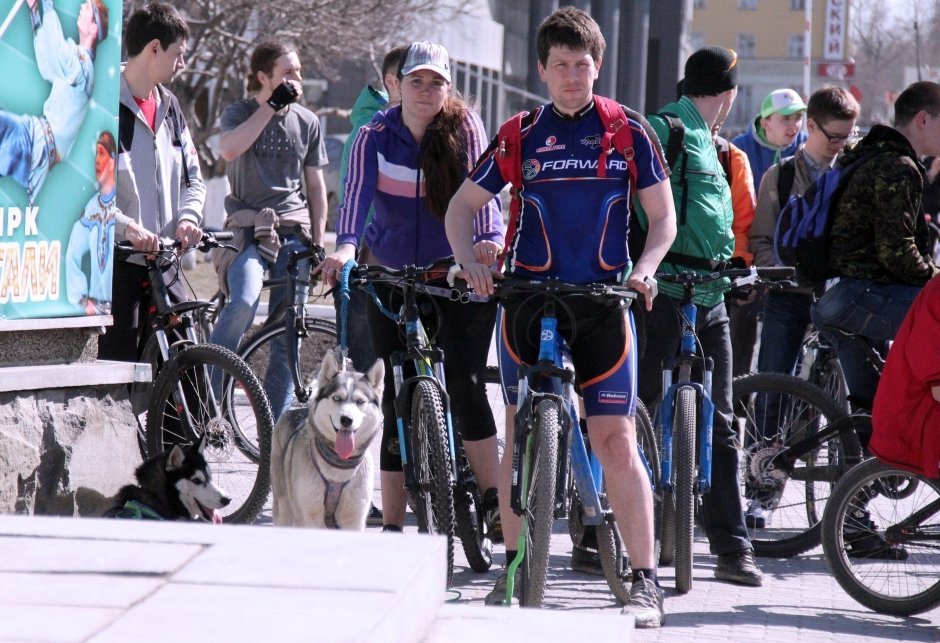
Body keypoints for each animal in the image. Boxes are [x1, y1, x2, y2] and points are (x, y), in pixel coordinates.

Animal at [274, 352, 384, 528]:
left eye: (360, 402)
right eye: (337, 398)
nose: (346, 419)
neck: (338, 466)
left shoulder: (354, 520)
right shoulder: (309, 517)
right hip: (284, 508)